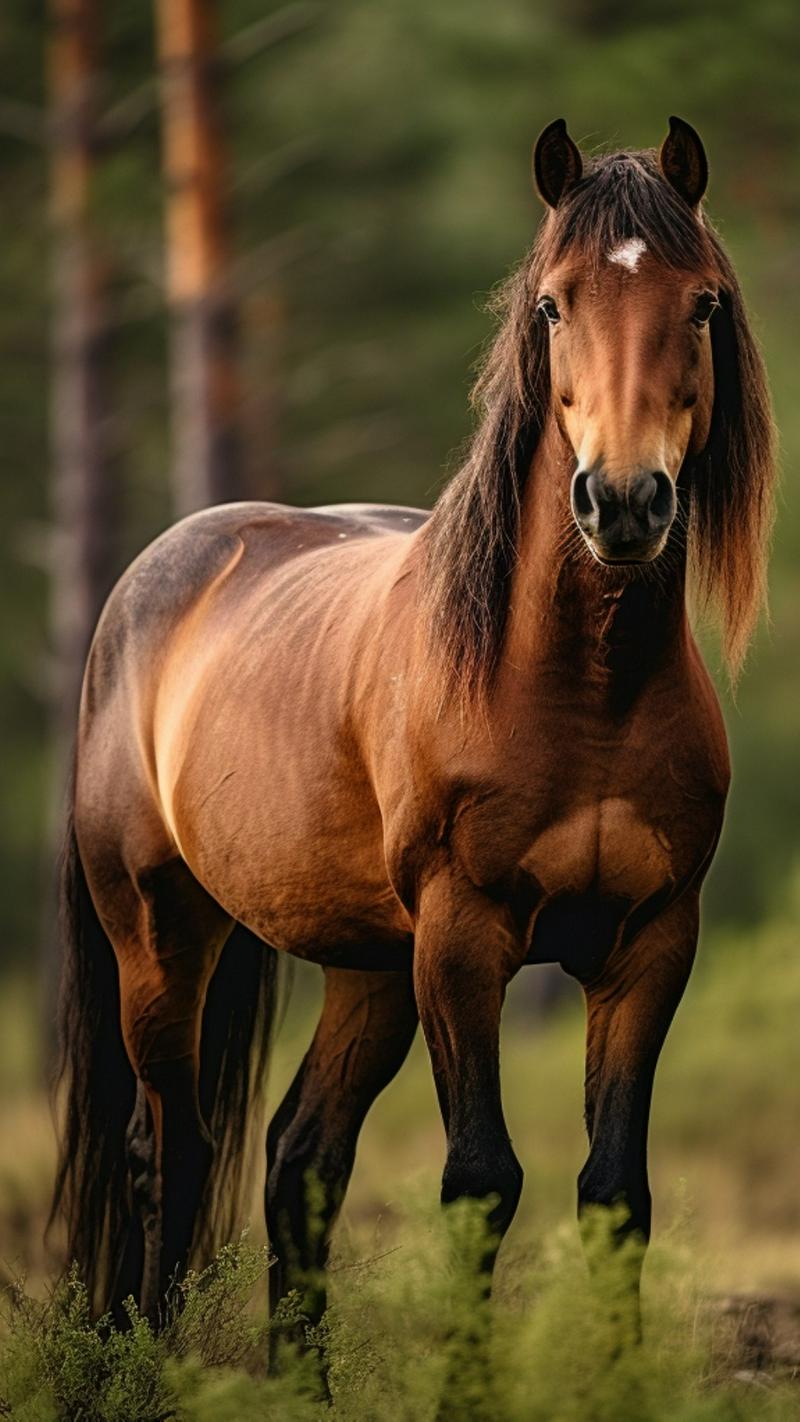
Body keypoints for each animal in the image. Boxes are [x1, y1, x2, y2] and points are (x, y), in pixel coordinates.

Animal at [52, 116, 775, 1361]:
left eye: (701, 303)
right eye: (552, 304)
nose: (623, 502)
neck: (578, 686)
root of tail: (161, 571)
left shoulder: (646, 945)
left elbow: (613, 1193)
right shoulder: (463, 939)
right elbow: (480, 1181)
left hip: (367, 969)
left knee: (298, 1160)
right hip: (163, 936)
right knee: (170, 1157)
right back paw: (156, 1373)